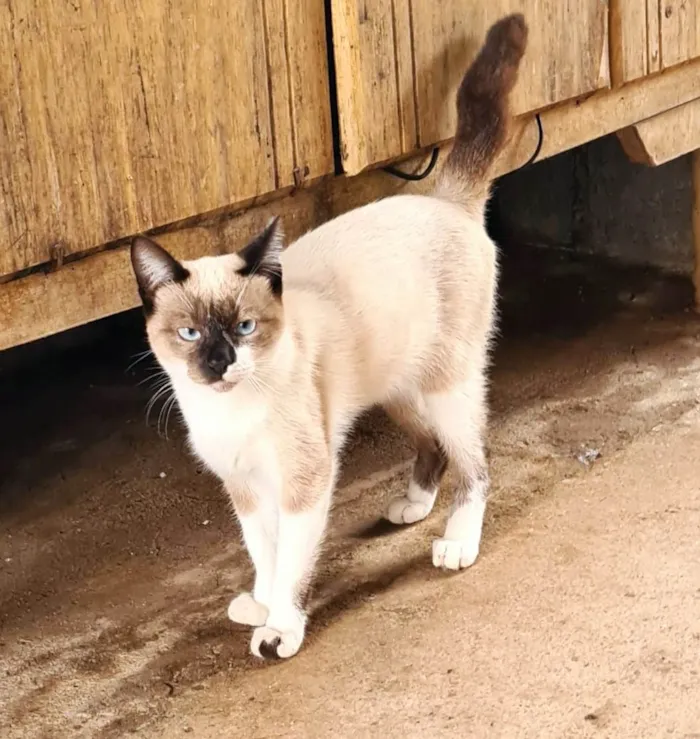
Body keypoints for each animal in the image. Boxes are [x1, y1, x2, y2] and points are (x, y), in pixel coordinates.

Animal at [130, 13, 524, 660]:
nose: (218, 363)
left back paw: (457, 544)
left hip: (448, 387)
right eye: (188, 333)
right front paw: (260, 603)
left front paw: (279, 628)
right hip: (397, 390)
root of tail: (443, 199)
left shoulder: (303, 482)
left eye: (244, 327)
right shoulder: (247, 489)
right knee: (435, 446)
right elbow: (264, 555)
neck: (228, 411)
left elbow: (292, 564)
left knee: (476, 462)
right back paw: (412, 506)